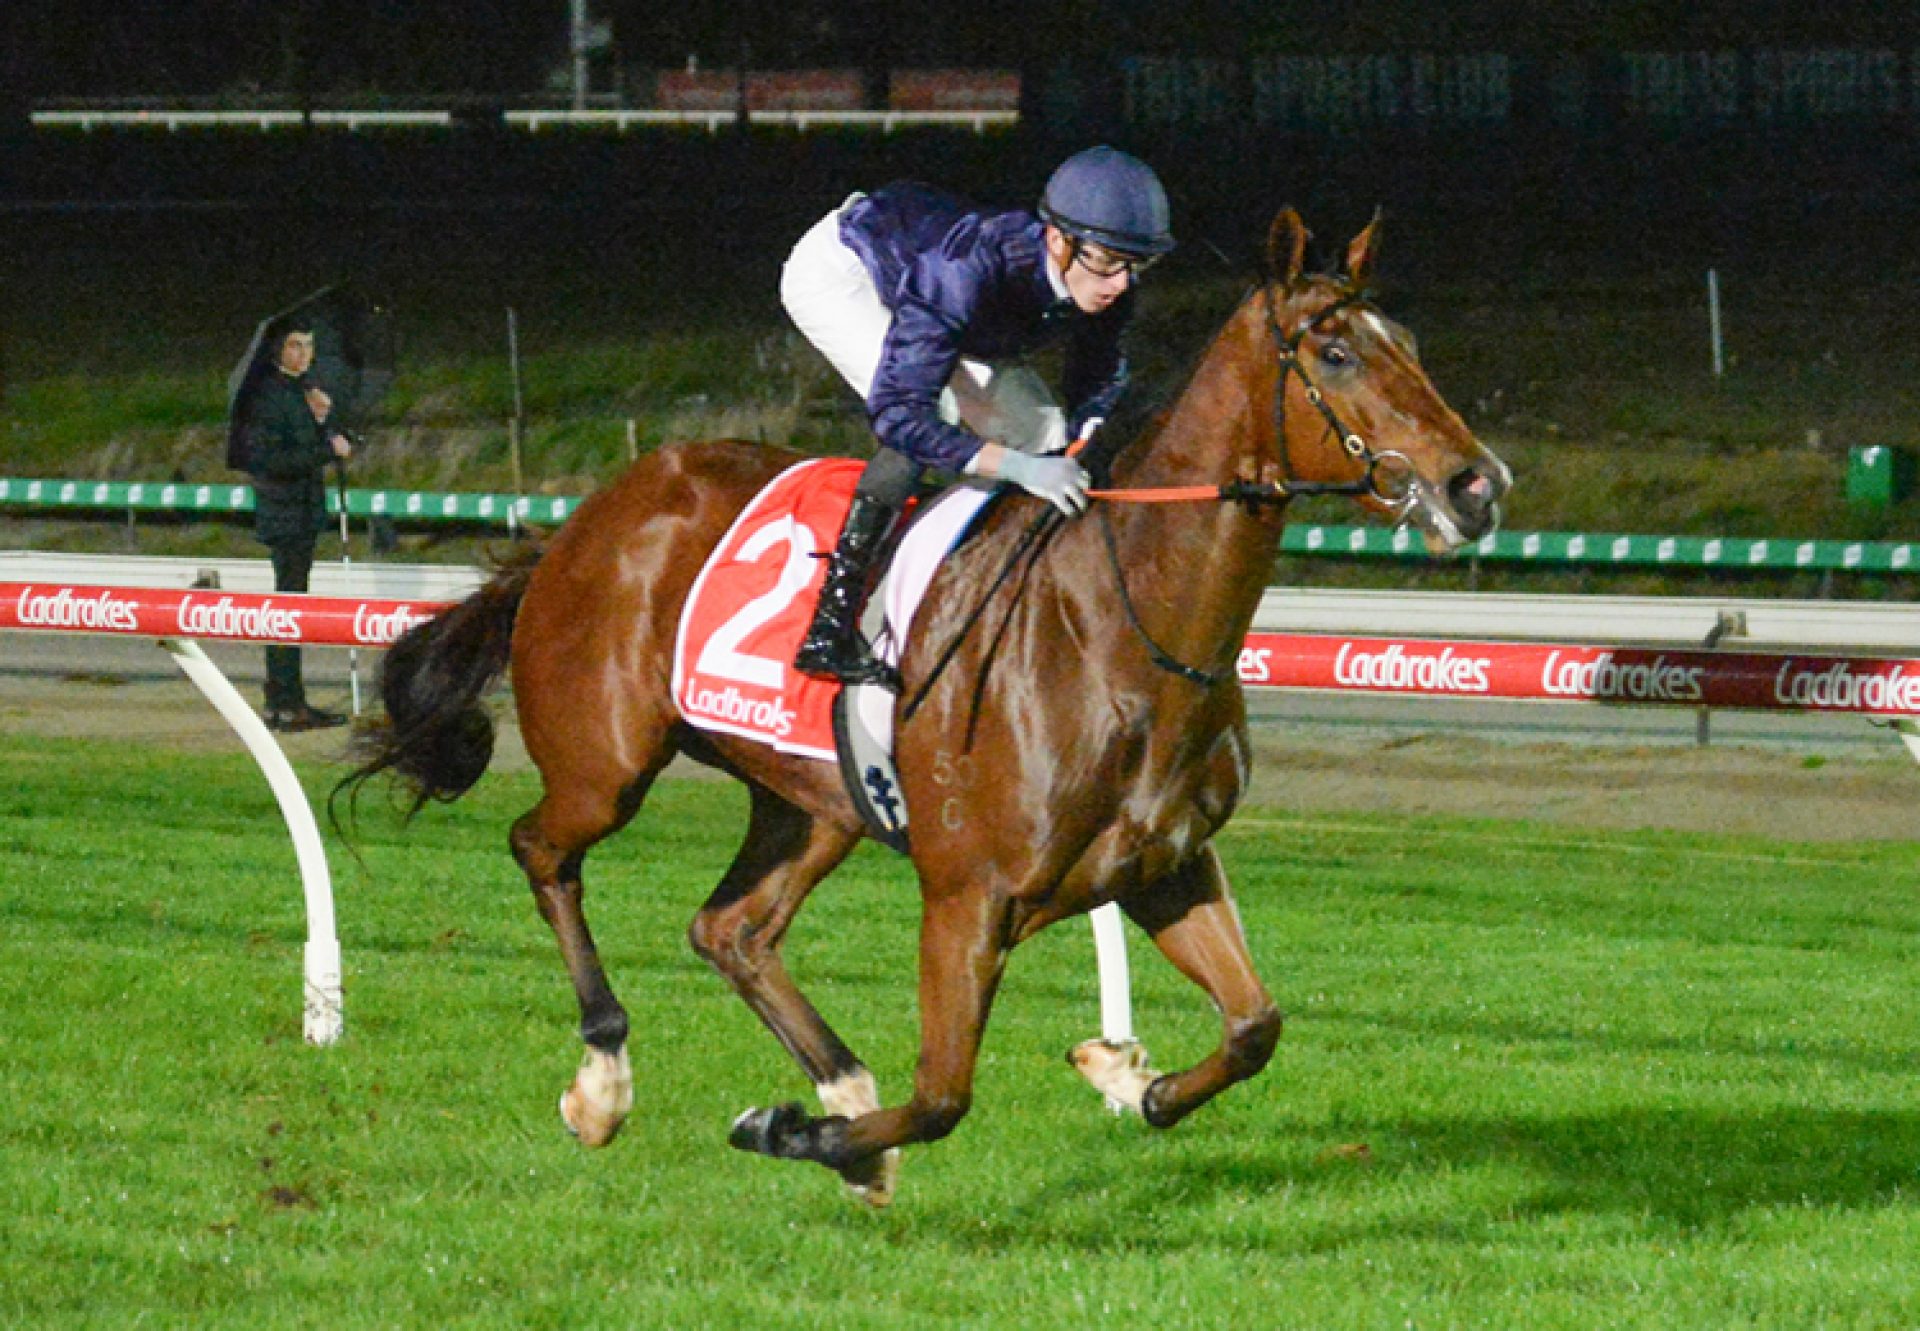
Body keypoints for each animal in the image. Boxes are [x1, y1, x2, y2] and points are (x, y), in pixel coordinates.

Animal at [345, 207, 1512, 1206]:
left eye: (1406, 338)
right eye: (1336, 353)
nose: (1478, 484)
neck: (1124, 624)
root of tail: (585, 520)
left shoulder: (1165, 865)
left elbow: (1256, 1025)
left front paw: (1130, 1078)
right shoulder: (968, 898)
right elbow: (946, 1095)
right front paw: (790, 1129)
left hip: (812, 801)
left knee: (732, 928)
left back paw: (839, 1091)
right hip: (606, 762)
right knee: (544, 849)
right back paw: (606, 1079)